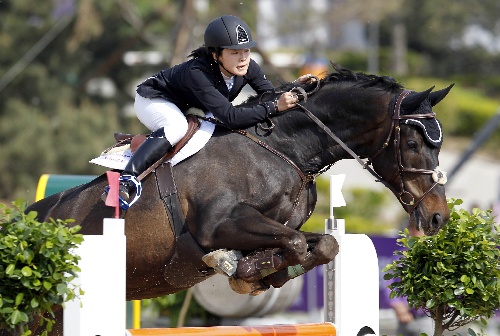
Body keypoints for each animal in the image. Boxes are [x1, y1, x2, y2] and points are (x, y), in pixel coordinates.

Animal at [21, 64, 452, 334]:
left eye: (439, 144)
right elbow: (293, 244)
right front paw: (238, 268)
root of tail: (25, 223)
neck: (285, 147)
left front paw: (259, 272)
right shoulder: (219, 225)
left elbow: (321, 244)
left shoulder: (278, 227)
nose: (437, 219)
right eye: (413, 143)